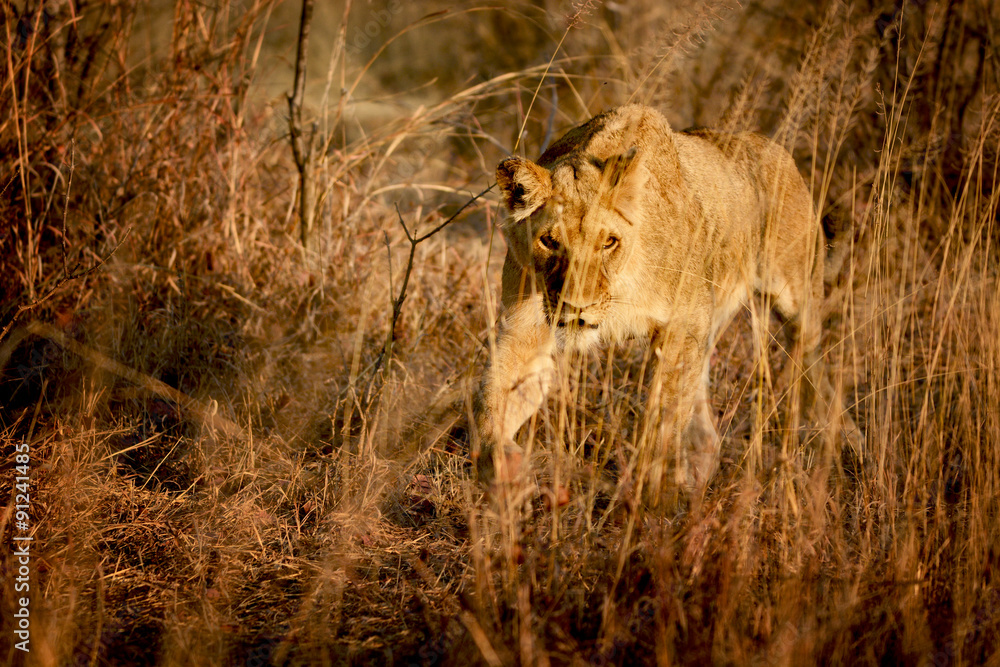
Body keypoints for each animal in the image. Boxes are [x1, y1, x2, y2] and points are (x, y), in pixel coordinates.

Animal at [473, 103, 860, 496]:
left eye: (608, 242)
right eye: (549, 241)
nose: (577, 306)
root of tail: (772, 146)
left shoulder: (681, 326)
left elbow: (663, 419)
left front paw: (651, 495)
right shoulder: (526, 328)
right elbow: (492, 400)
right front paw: (506, 468)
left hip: (796, 300)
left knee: (813, 363)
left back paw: (845, 441)